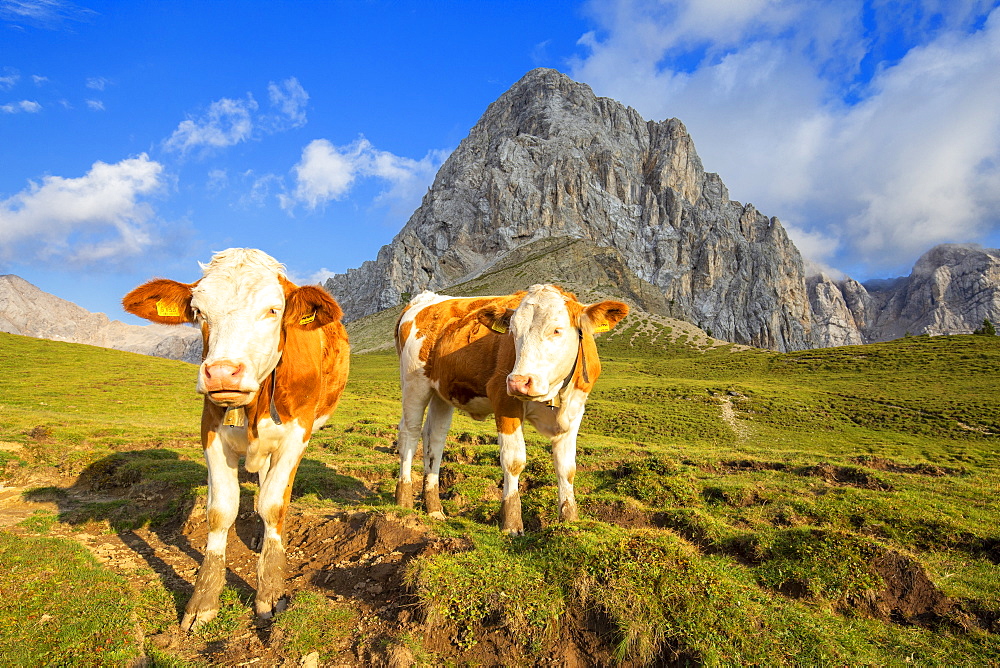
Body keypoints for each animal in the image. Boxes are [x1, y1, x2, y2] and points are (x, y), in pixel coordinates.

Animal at [123, 248, 350, 628]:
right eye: (199, 312)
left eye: (273, 310)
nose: (222, 373)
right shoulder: (211, 431)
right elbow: (221, 510)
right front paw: (203, 599)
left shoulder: (298, 434)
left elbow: (274, 505)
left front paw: (270, 592)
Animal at [394, 284, 628, 536]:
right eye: (513, 332)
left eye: (557, 330)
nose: (519, 382)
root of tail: (426, 299)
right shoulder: (504, 401)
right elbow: (513, 461)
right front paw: (512, 523)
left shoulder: (575, 410)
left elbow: (567, 468)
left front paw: (569, 519)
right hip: (414, 383)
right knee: (410, 434)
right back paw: (404, 500)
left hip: (442, 393)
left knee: (434, 441)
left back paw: (434, 509)